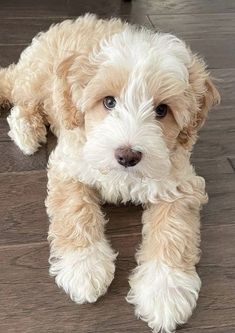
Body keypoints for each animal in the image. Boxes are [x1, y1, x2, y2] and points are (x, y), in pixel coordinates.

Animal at [0, 13, 220, 332]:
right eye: (109, 102)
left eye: (162, 110)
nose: (127, 156)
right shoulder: (70, 165)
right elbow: (75, 211)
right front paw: (83, 267)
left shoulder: (178, 182)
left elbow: (174, 230)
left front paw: (164, 292)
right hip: (37, 78)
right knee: (21, 101)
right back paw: (26, 132)